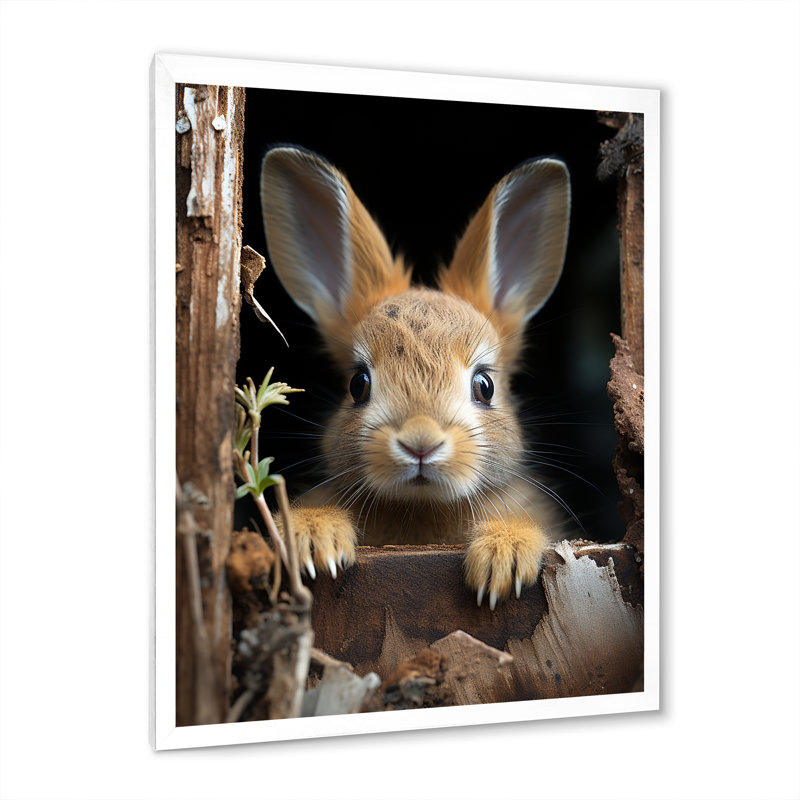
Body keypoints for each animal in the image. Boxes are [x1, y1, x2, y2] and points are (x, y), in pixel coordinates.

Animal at [260, 145, 570, 609]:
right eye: (358, 384)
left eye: (485, 386)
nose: (420, 443)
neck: (420, 506)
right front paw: (315, 539)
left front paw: (503, 557)